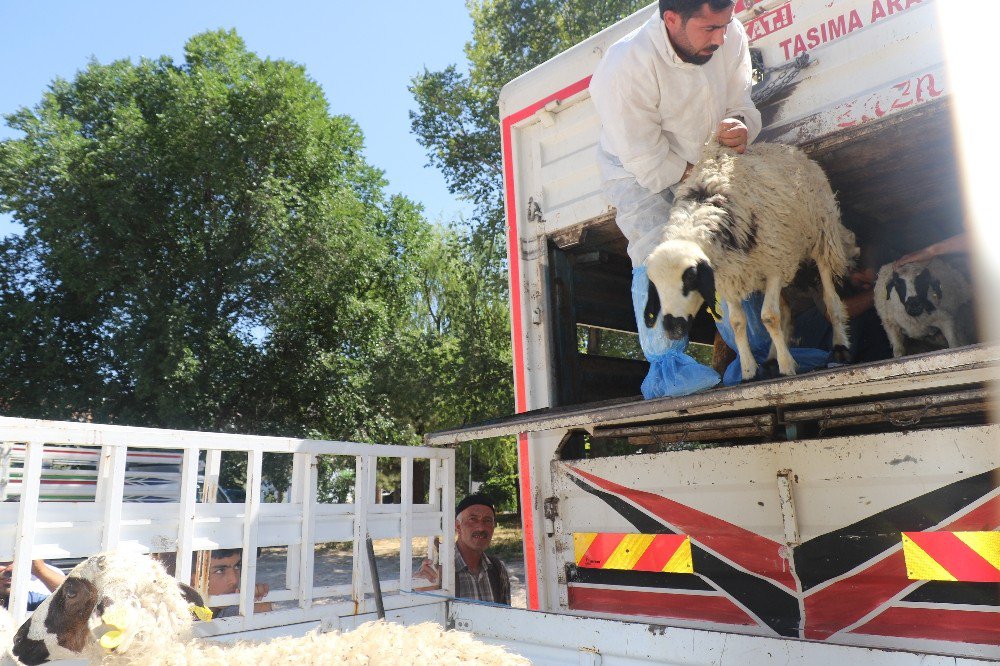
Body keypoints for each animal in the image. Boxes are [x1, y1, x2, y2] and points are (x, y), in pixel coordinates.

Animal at [648, 140, 860, 378]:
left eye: (691, 277)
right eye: (654, 285)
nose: (672, 329)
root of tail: (796, 152)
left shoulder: (774, 264)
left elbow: (768, 316)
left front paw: (787, 366)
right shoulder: (730, 278)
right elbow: (737, 322)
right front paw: (749, 370)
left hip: (821, 236)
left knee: (829, 297)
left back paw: (840, 346)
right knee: (786, 311)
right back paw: (771, 358)